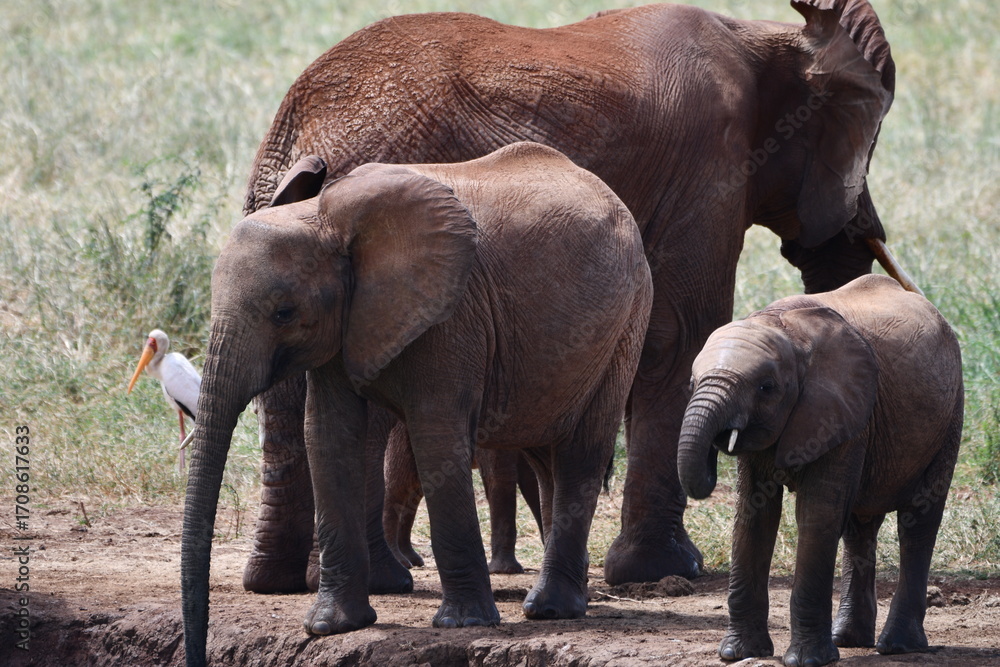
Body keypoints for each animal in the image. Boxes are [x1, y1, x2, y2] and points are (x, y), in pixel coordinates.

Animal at [181, 142, 653, 665]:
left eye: (284, 313)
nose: (197, 653)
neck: (324, 218)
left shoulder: (451, 315)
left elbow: (435, 438)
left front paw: (463, 624)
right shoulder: (348, 323)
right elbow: (328, 438)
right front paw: (330, 627)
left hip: (627, 322)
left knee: (581, 451)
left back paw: (551, 610)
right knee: (548, 455)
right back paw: (561, 603)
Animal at [238, 0, 912, 593]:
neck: (762, 34)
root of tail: (309, 129)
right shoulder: (711, 170)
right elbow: (681, 336)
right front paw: (663, 572)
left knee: (289, 385)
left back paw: (286, 582)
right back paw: (377, 579)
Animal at [677, 274, 964, 666]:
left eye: (766, 388)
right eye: (691, 384)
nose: (718, 443)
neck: (780, 325)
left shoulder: (843, 410)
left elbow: (816, 515)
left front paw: (807, 661)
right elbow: (754, 516)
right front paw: (737, 653)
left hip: (949, 418)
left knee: (918, 523)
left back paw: (897, 646)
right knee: (859, 527)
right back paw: (849, 639)